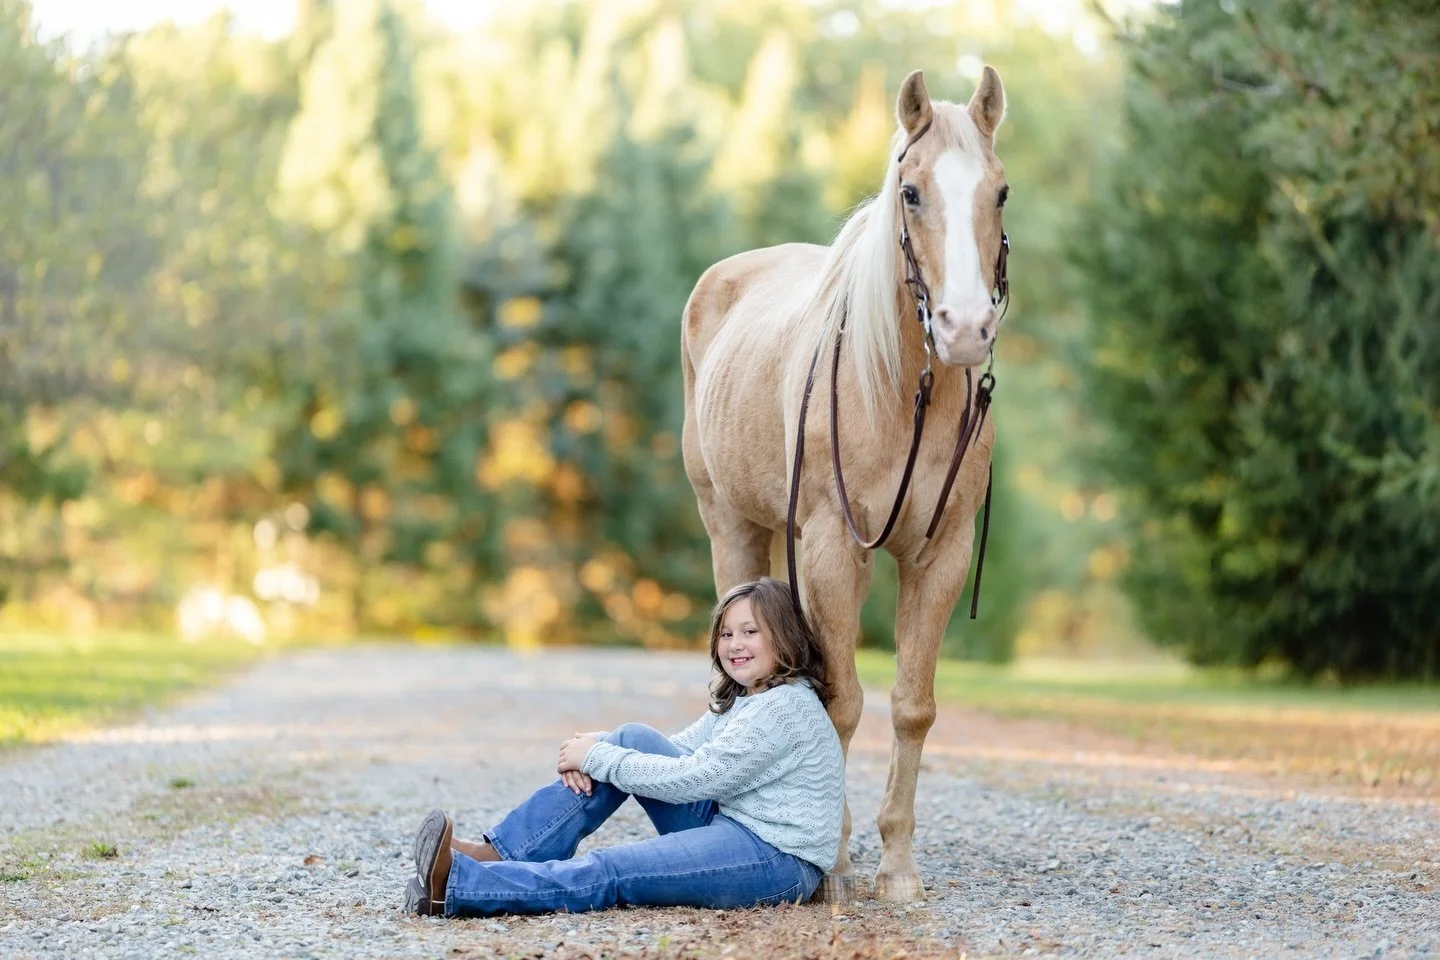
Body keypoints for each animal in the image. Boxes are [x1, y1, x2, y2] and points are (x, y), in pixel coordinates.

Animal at [680, 67, 1009, 902]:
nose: (964, 328)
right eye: (912, 193)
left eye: (1000, 192)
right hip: (730, 526)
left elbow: (912, 706)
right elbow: (842, 702)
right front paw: (829, 857)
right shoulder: (833, 547)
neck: (899, 391)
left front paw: (895, 868)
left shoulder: (941, 555)